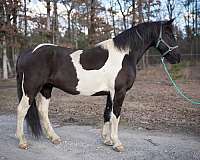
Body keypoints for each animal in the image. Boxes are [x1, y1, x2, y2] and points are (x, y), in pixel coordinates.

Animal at [16, 19, 180, 152]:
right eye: (169, 34)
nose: (177, 58)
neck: (125, 55)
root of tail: (27, 52)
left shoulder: (110, 93)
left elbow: (107, 114)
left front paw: (107, 140)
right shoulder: (119, 92)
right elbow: (116, 115)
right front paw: (117, 143)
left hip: (46, 88)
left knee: (43, 111)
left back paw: (54, 138)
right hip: (31, 89)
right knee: (22, 110)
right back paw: (22, 142)